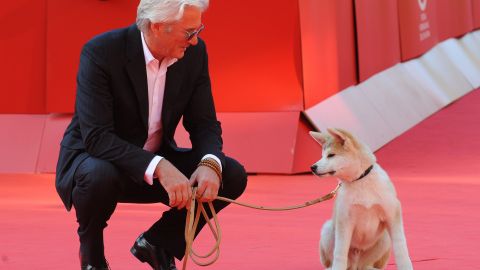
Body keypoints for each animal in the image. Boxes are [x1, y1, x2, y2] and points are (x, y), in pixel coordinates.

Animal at [312, 129, 412, 270]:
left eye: (331, 155)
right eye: (322, 155)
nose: (312, 167)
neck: (360, 180)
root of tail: (356, 265)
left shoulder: (392, 215)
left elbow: (401, 247)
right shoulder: (344, 221)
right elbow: (339, 253)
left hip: (384, 238)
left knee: (368, 265)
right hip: (328, 230)